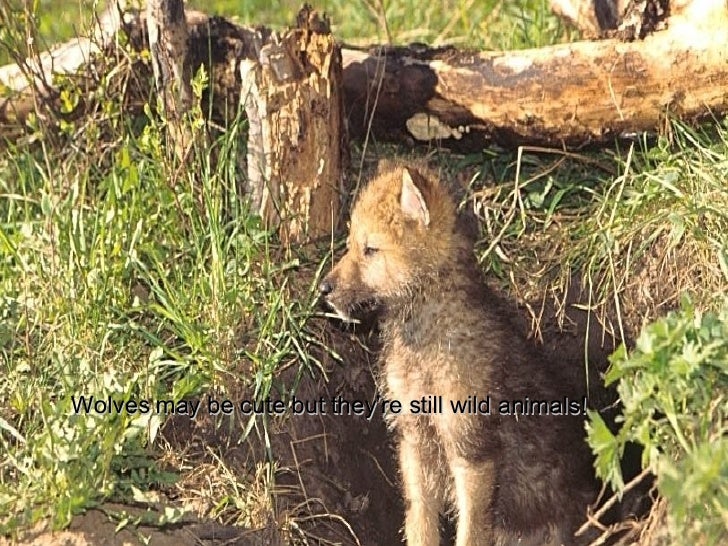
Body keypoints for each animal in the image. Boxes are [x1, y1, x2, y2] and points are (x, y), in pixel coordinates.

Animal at [319, 164, 597, 546]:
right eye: (349, 245)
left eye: (370, 249)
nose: (323, 290)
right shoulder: (414, 440)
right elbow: (420, 520)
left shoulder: (472, 453)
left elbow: (471, 531)